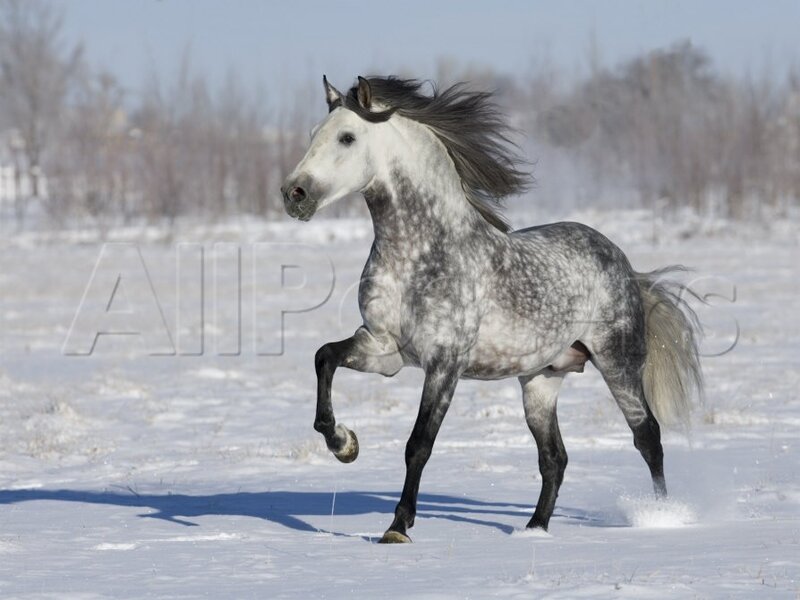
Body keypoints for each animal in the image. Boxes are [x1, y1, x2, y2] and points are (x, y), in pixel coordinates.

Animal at [281, 75, 703, 543]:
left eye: (347, 137)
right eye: (313, 134)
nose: (294, 194)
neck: (420, 254)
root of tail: (623, 261)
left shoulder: (445, 363)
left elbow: (419, 445)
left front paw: (397, 527)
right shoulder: (384, 349)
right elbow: (324, 357)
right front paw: (344, 444)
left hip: (618, 364)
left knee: (647, 437)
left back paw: (661, 518)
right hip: (540, 381)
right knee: (554, 458)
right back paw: (533, 529)